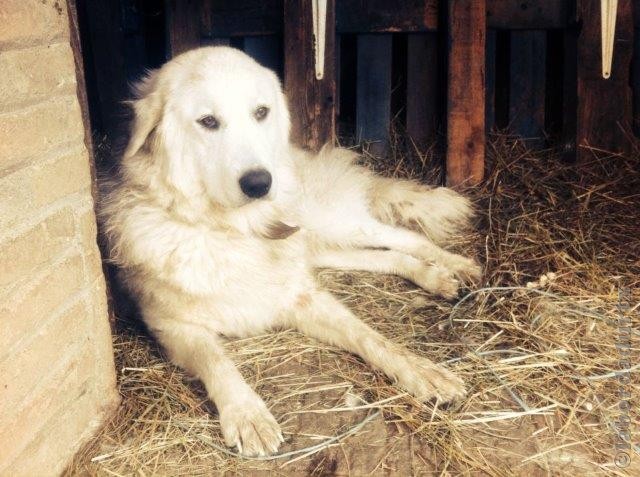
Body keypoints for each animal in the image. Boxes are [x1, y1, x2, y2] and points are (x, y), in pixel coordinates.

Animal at [101, 46, 480, 456]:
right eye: (207, 121)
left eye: (261, 112)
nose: (259, 183)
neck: (232, 230)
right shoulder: (173, 326)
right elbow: (217, 361)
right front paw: (248, 415)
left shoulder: (304, 296)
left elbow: (370, 336)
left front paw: (421, 370)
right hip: (317, 245)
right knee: (385, 256)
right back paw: (435, 277)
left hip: (331, 221)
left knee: (401, 236)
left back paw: (456, 266)